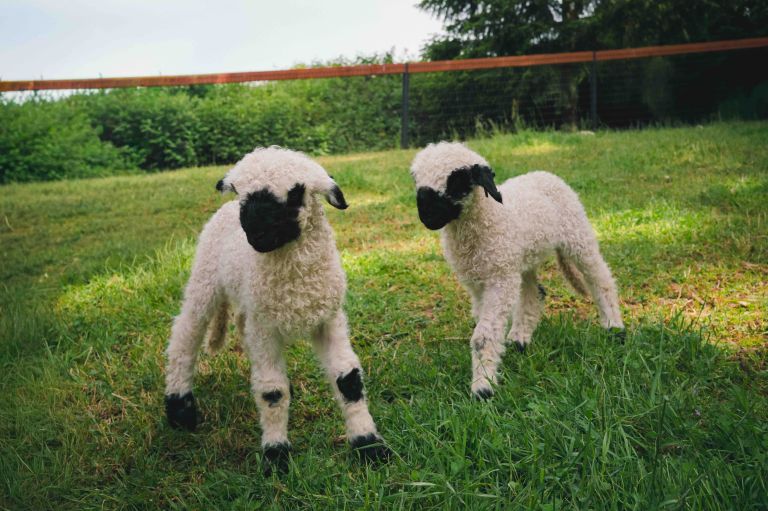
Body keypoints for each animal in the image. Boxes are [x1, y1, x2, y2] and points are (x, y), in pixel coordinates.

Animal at [164, 146, 390, 474]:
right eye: (242, 194)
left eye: (295, 195)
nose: (256, 234)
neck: (295, 286)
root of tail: (224, 211)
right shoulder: (266, 328)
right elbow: (272, 391)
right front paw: (276, 455)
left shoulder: (328, 318)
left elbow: (347, 380)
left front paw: (369, 445)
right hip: (205, 280)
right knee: (185, 335)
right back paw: (179, 409)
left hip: (249, 306)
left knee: (239, 327)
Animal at [410, 142, 625, 399]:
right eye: (416, 181)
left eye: (457, 181)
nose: (427, 217)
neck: (488, 219)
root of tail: (543, 173)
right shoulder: (477, 283)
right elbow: (485, 325)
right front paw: (489, 370)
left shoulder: (500, 278)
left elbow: (483, 335)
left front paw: (483, 388)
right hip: (523, 260)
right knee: (534, 293)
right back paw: (519, 340)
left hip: (578, 236)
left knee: (601, 279)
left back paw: (614, 326)